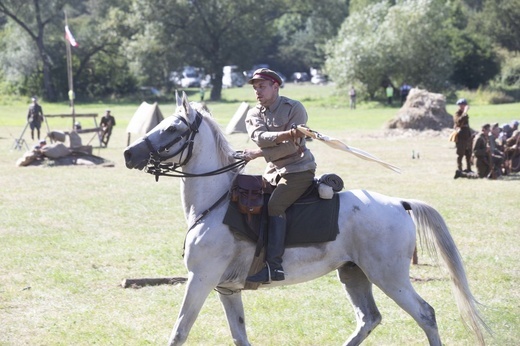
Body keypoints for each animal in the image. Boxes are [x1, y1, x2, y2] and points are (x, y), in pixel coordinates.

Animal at [125, 92, 488, 346]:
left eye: (172, 128)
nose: (129, 154)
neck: (215, 202)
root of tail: (400, 204)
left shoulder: (200, 280)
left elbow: (179, 332)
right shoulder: (227, 289)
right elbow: (239, 336)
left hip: (390, 277)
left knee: (425, 314)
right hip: (354, 274)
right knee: (369, 319)